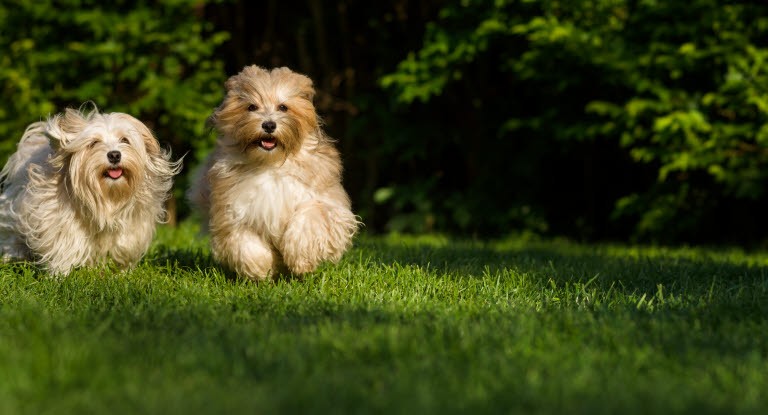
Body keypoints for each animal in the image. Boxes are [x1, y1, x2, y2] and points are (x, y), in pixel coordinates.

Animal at [0, 107, 178, 276]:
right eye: (94, 143)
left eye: (125, 140)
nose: (114, 155)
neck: (107, 197)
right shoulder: (59, 220)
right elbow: (64, 246)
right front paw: (60, 276)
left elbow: (123, 248)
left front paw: (121, 273)